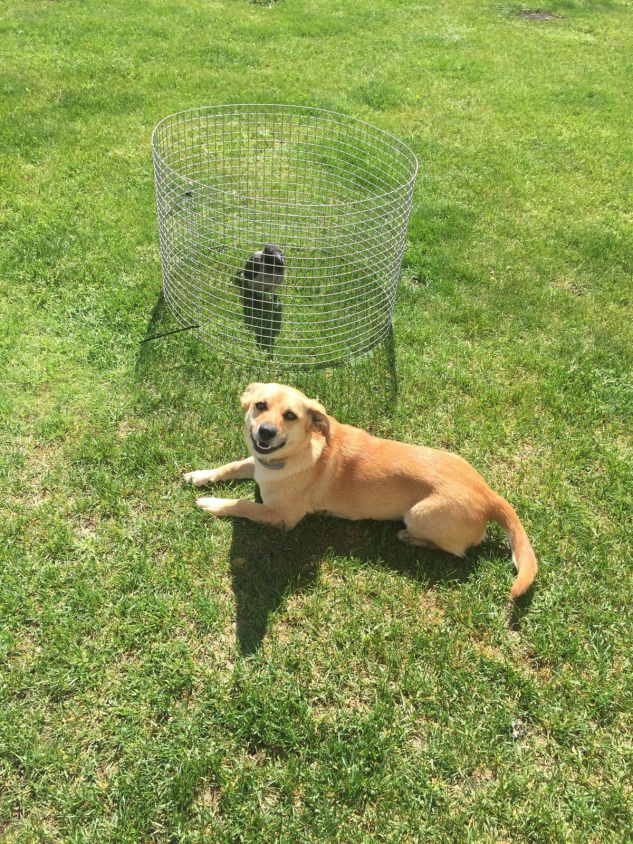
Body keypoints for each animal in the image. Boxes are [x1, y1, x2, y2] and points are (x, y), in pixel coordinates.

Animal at [184, 383, 537, 598]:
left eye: (291, 415)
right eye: (260, 405)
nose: (266, 432)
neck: (295, 454)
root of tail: (490, 496)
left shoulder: (282, 517)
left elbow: (242, 503)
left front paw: (211, 502)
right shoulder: (256, 463)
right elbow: (231, 466)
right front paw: (200, 476)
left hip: (420, 514)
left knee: (455, 550)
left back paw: (411, 538)